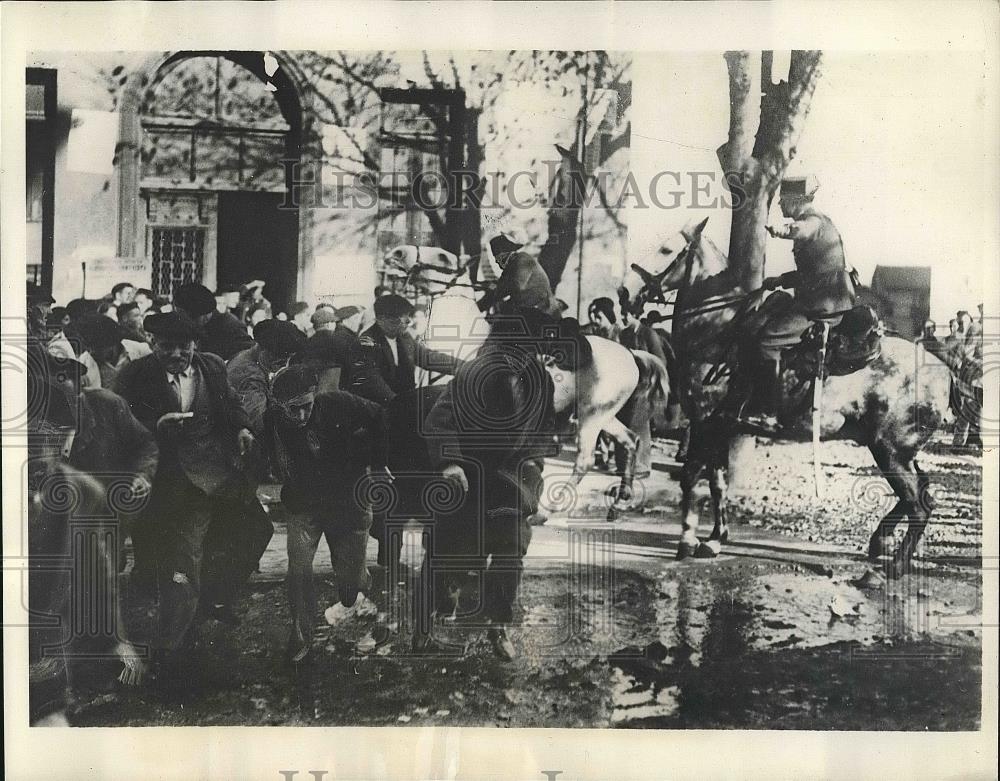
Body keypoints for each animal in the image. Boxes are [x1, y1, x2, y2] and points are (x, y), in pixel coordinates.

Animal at [382, 244, 672, 512]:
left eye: (443, 256)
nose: (395, 253)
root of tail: (630, 354)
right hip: (602, 415)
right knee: (630, 441)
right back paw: (623, 496)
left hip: (592, 416)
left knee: (586, 459)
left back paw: (553, 506)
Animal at [620, 216, 956, 576]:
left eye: (666, 249)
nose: (625, 292)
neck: (719, 328)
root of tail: (944, 369)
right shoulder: (721, 425)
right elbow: (717, 481)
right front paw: (715, 538)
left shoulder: (703, 420)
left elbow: (692, 476)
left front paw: (686, 541)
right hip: (896, 450)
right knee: (922, 494)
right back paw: (880, 542)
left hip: (890, 450)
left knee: (918, 503)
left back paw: (891, 568)